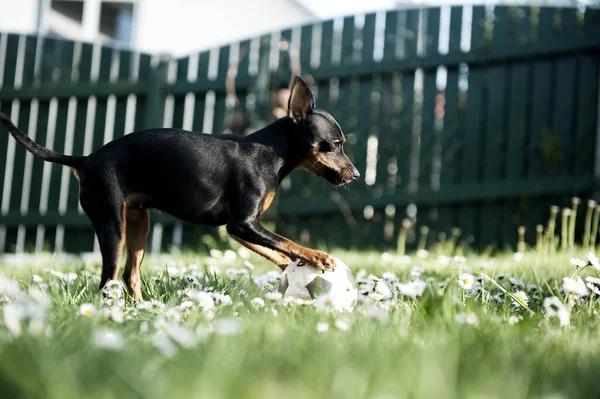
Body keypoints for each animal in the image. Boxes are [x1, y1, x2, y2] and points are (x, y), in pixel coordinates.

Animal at [0, 76, 358, 298]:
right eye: (332, 146)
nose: (355, 175)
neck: (271, 152)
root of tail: (85, 159)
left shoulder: (241, 229)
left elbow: (279, 249)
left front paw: (293, 266)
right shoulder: (242, 224)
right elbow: (288, 241)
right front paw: (319, 257)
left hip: (138, 223)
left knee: (130, 275)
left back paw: (143, 311)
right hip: (112, 225)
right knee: (108, 280)